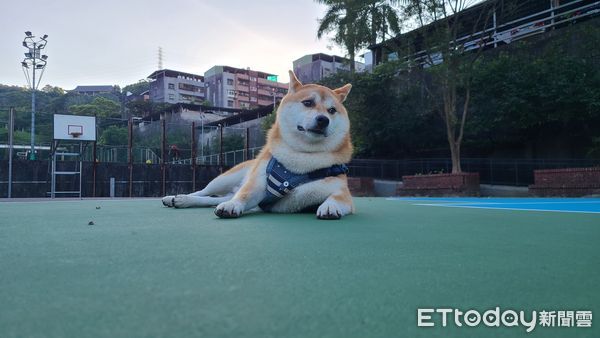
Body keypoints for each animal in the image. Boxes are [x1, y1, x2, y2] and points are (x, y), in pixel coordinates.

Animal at [162, 70, 354, 219]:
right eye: (308, 103)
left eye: (332, 110)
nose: (323, 120)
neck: (302, 159)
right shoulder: (257, 185)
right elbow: (243, 196)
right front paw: (232, 206)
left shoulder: (341, 191)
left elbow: (337, 198)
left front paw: (330, 206)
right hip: (226, 178)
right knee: (205, 191)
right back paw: (177, 197)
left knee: (213, 199)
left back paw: (183, 201)